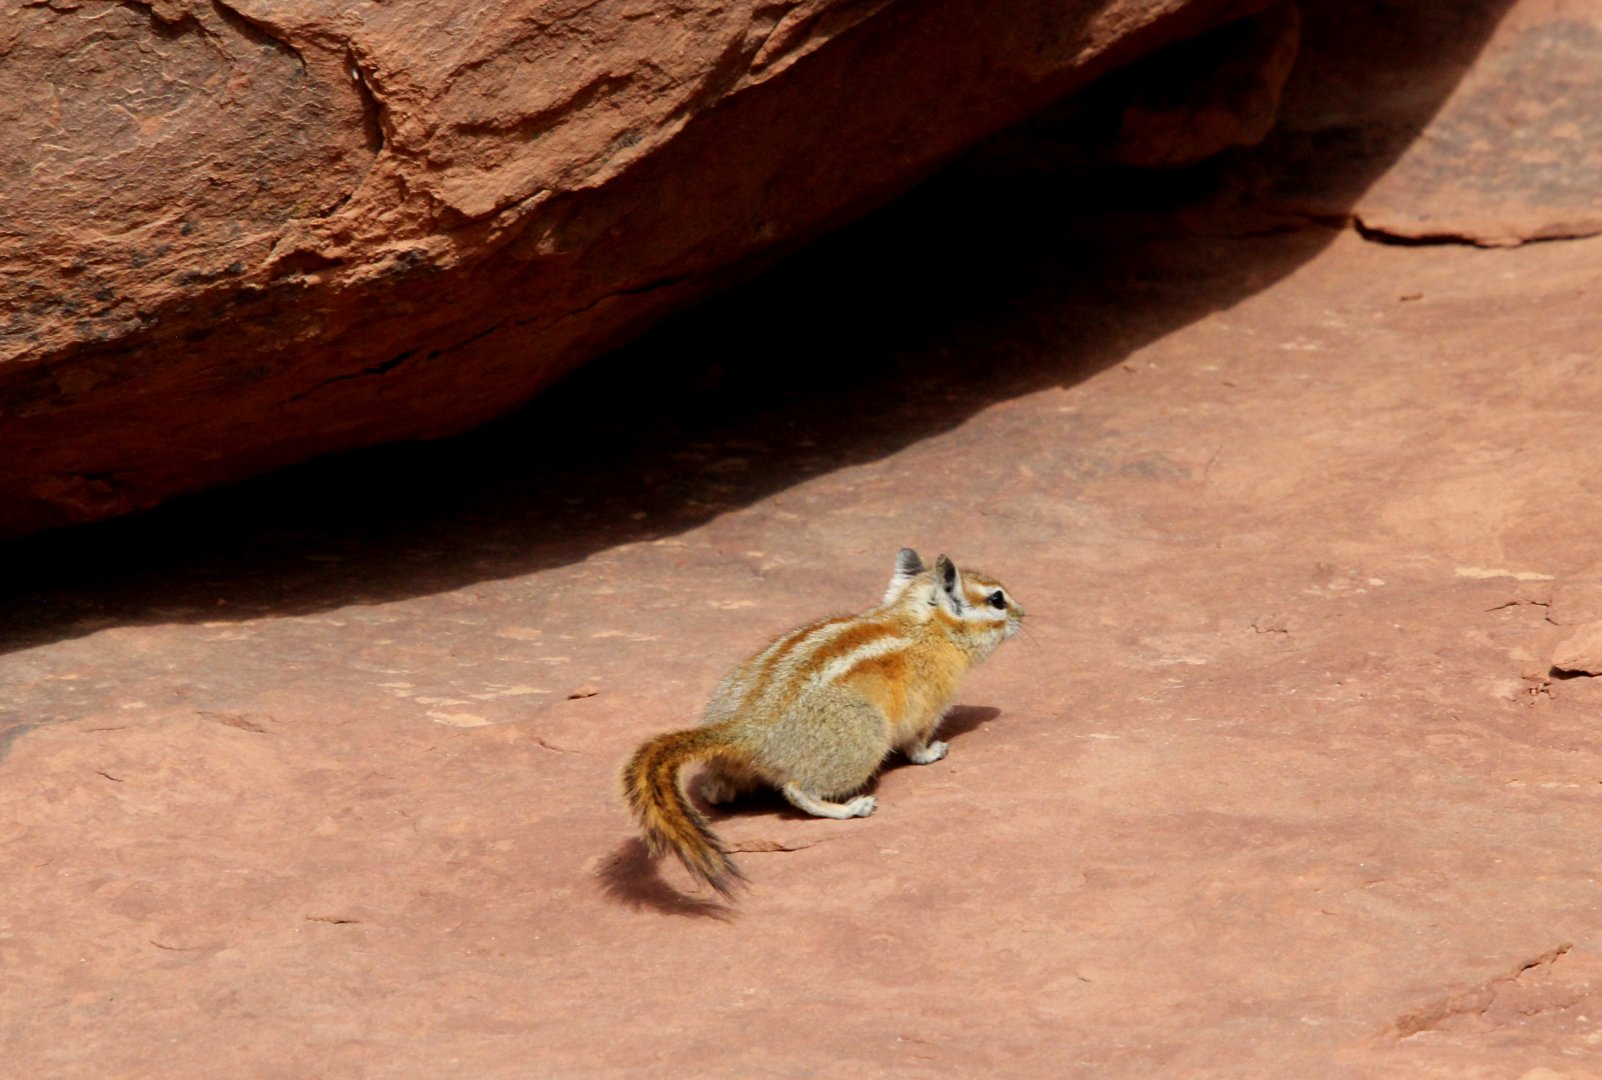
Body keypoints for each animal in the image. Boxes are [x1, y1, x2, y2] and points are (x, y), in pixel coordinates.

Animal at [621, 548, 1024, 898]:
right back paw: (851, 809)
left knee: (718, 792)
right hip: (864, 737)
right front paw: (933, 752)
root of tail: (747, 729)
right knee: (797, 789)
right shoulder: (927, 708)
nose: (1024, 614)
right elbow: (916, 746)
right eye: (997, 600)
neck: (920, 624)